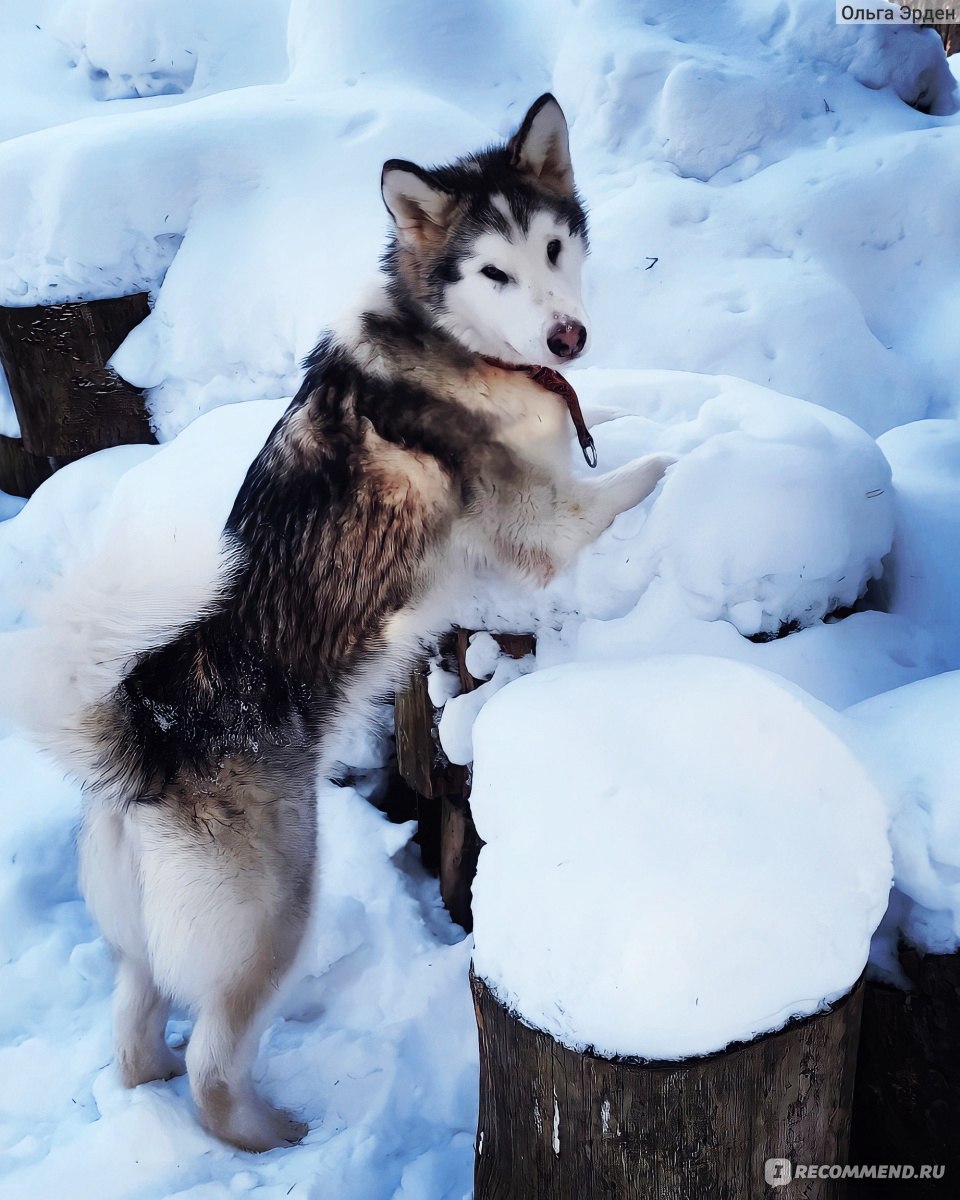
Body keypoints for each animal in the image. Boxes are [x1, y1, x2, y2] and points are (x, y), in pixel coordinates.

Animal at [63, 91, 672, 1142]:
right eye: (492, 271)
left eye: (553, 249)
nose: (567, 340)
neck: (460, 347)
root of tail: (145, 736)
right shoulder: (546, 523)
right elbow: (640, 474)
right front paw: (704, 446)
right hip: (269, 916)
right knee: (213, 1064)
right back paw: (271, 1136)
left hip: (143, 938)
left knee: (136, 1024)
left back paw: (154, 1091)